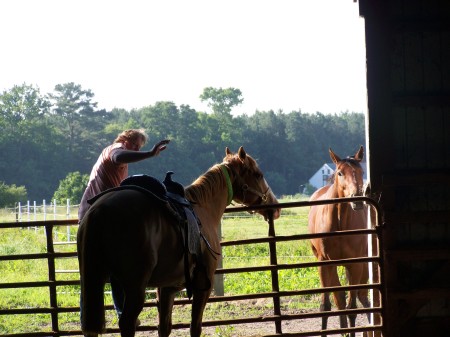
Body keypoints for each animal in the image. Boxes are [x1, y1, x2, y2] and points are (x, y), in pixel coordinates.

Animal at [78, 146, 282, 336]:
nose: (275, 206)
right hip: (134, 287)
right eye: (258, 174)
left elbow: (164, 328)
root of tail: (101, 209)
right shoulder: (202, 286)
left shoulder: (167, 288)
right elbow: (195, 327)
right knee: (127, 324)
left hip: (94, 280)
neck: (203, 208)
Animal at [308, 146, 370, 336]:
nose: (357, 199)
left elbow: (352, 308)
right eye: (340, 173)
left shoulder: (356, 264)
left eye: (361, 171)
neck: (340, 221)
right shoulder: (325, 263)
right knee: (340, 298)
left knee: (361, 297)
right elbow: (326, 306)